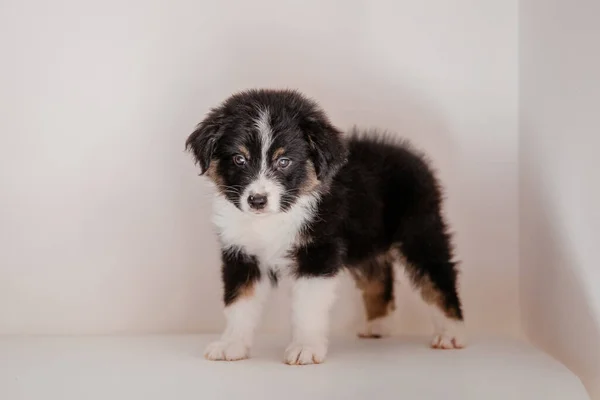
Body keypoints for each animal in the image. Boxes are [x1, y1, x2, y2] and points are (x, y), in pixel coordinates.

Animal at [185, 89, 466, 364]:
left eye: (284, 161)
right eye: (239, 159)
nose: (257, 200)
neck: (276, 216)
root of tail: (413, 155)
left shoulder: (318, 251)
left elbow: (307, 307)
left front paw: (305, 348)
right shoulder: (241, 253)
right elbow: (239, 304)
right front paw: (231, 345)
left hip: (420, 231)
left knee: (438, 275)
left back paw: (450, 332)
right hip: (367, 240)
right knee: (378, 275)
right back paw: (378, 325)